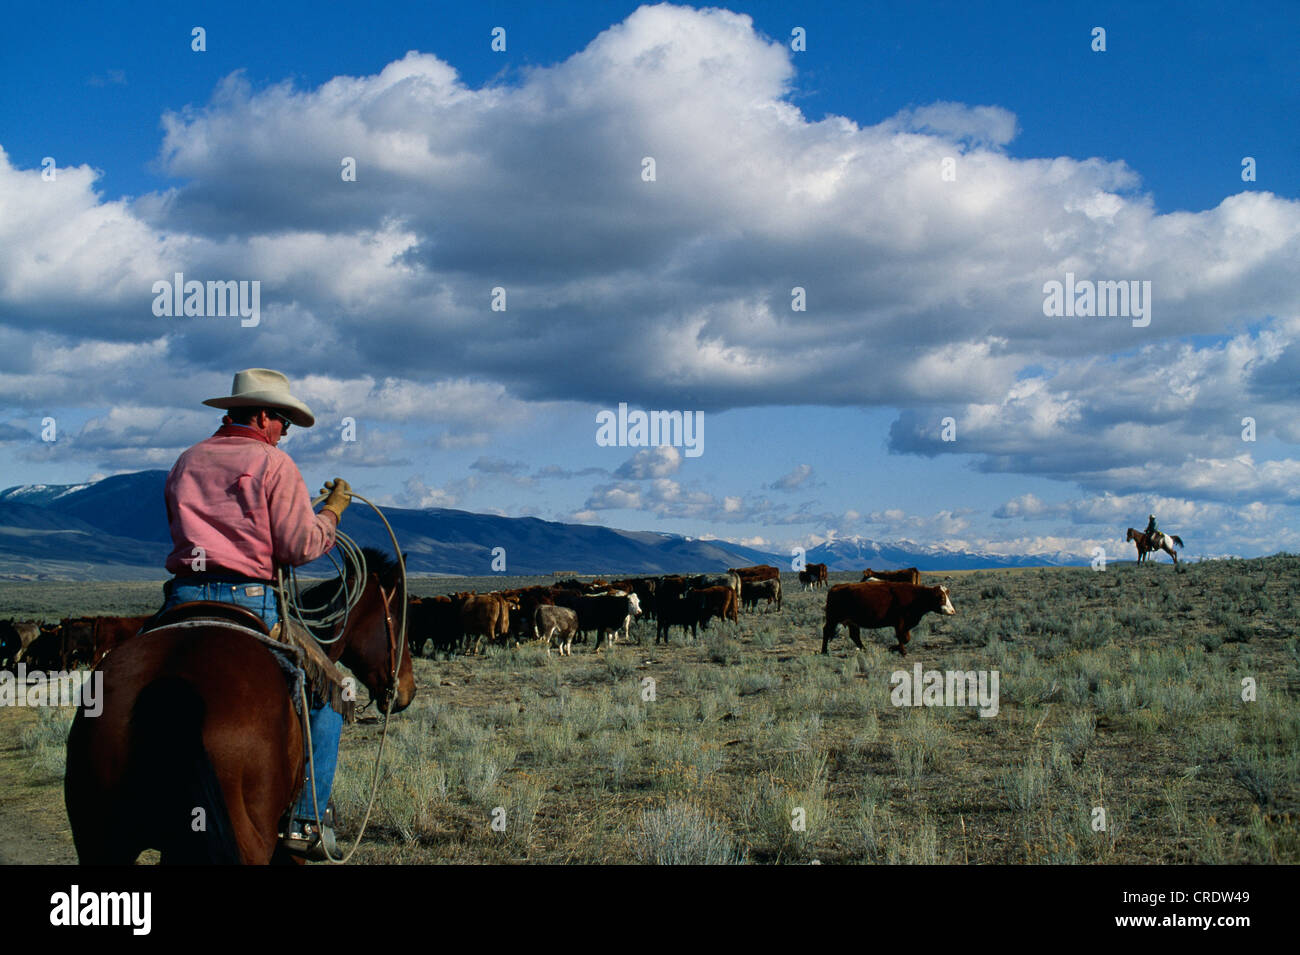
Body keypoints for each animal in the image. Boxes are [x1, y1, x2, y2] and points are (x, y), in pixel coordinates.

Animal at [821, 582, 956, 657]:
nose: (952, 611)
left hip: (852, 622)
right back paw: (824, 651)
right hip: (832, 618)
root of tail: (836, 587)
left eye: (947, 595)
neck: (915, 597)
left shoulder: (905, 624)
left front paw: (894, 648)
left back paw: (865, 649)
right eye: (940, 597)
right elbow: (902, 638)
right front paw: (900, 651)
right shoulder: (900, 622)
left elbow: (906, 638)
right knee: (826, 631)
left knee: (855, 636)